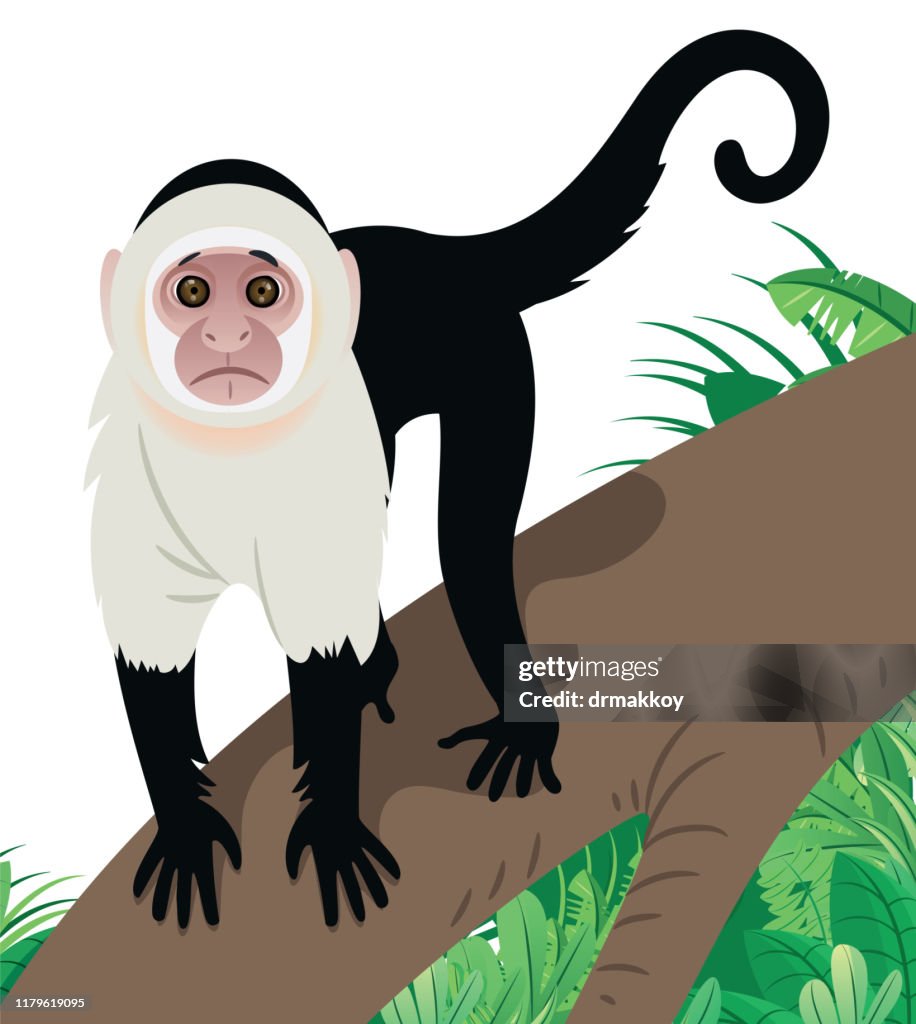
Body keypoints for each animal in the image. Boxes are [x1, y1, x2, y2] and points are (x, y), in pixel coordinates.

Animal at [88, 29, 828, 930]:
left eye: (263, 290)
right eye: (191, 289)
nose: (228, 335)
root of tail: (437, 250)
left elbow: (326, 631)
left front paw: (332, 823)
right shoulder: (133, 463)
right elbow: (149, 660)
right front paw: (188, 827)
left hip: (487, 358)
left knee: (468, 545)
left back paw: (517, 723)